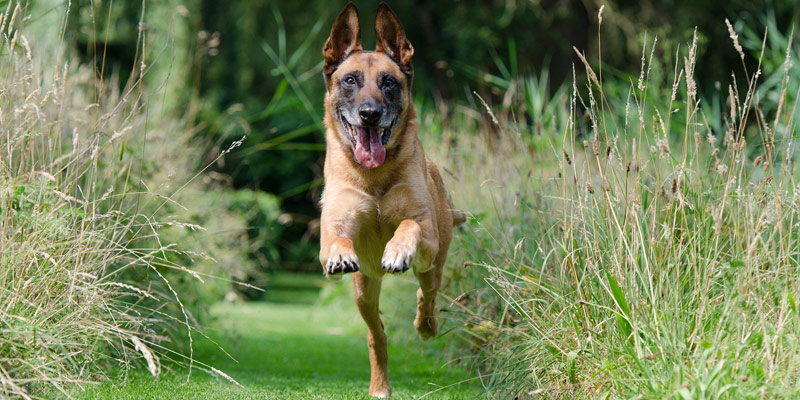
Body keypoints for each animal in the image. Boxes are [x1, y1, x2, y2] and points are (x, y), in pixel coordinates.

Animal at [318, 2, 462, 396]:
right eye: (350, 80)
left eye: (389, 82)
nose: (369, 114)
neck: (374, 176)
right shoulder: (335, 224)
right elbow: (336, 239)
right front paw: (339, 255)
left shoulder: (424, 228)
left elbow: (409, 224)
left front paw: (397, 250)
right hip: (364, 289)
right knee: (377, 334)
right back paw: (379, 385)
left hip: (433, 263)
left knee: (426, 295)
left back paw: (425, 326)